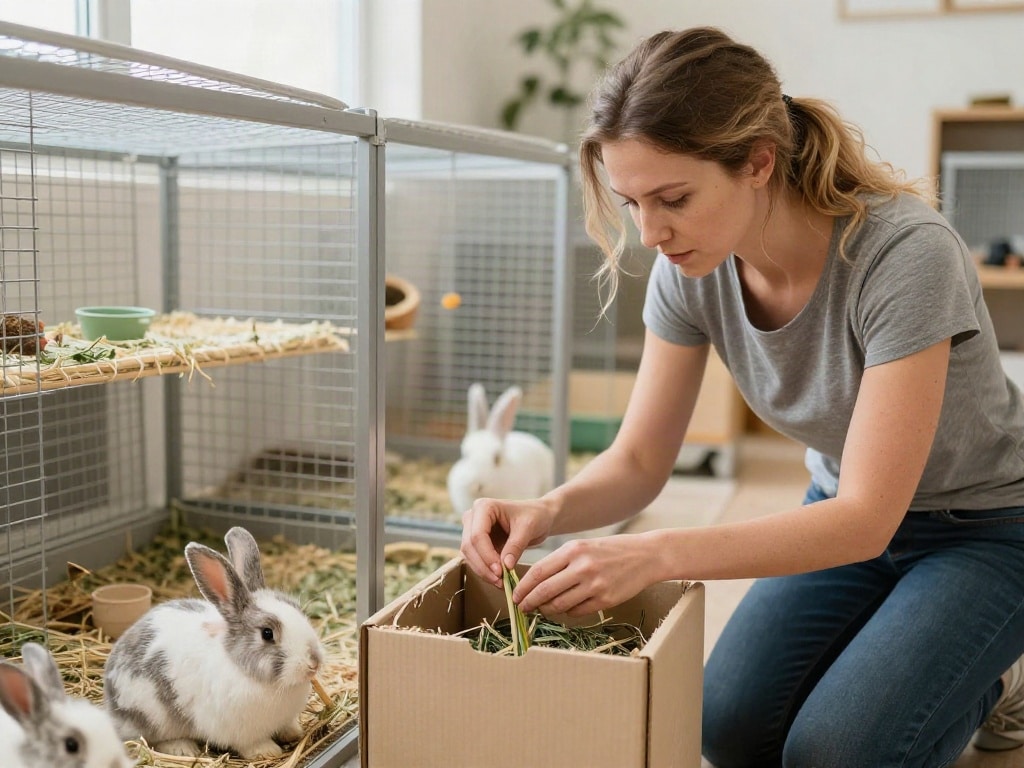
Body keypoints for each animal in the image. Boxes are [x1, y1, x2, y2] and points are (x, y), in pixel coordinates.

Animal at [103, 526, 325, 760]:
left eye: (299, 610)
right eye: (267, 633)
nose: (314, 662)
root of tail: (109, 702)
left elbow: (286, 725)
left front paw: (293, 732)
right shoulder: (238, 730)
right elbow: (251, 743)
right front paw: (267, 752)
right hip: (153, 717)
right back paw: (182, 748)